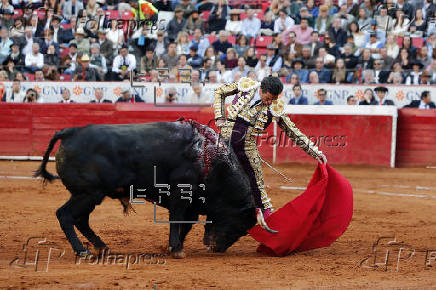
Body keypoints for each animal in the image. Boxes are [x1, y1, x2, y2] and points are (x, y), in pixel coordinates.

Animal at [35, 120, 258, 258]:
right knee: (65, 215)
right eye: (239, 226)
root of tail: (70, 132)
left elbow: (185, 224)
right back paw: (83, 251)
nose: (217, 248)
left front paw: (173, 246)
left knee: (80, 220)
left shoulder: (191, 204)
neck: (209, 157)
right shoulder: (181, 193)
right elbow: (177, 220)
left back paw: (101, 246)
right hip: (87, 193)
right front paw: (176, 248)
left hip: (89, 195)